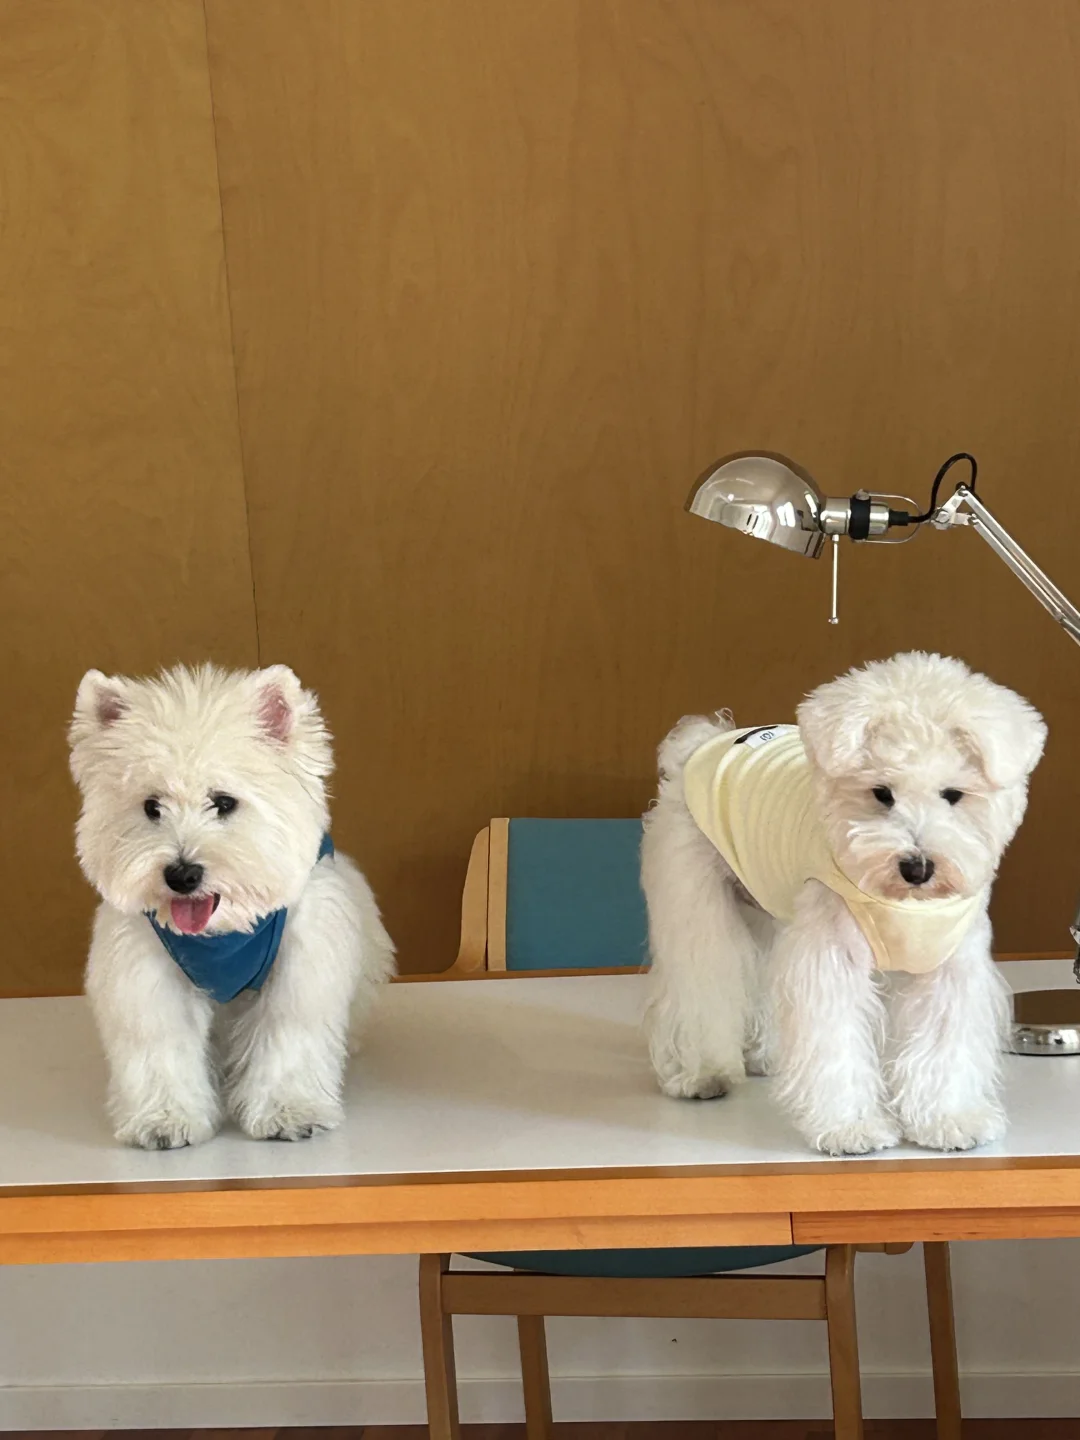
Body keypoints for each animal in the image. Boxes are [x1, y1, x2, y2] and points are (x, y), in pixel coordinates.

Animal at [69, 663, 395, 1149]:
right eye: (151, 807)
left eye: (223, 802)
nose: (182, 874)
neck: (221, 936)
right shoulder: (146, 974)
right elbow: (161, 1044)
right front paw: (165, 1120)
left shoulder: (298, 971)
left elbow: (286, 1037)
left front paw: (289, 1111)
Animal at [641, 652, 1046, 1156]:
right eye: (881, 792)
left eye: (953, 794)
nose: (917, 867)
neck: (906, 903)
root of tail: (700, 743)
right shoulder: (830, 960)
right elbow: (836, 1042)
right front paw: (851, 1128)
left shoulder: (949, 967)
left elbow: (943, 1043)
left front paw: (948, 1119)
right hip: (698, 907)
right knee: (700, 988)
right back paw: (700, 1073)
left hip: (771, 911)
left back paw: (767, 1055)